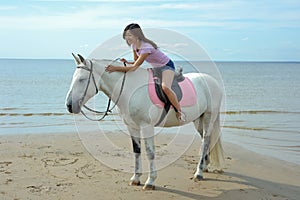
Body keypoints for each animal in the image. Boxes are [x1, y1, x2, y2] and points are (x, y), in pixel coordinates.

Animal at [66, 54, 225, 190]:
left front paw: (150, 181)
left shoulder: (147, 126)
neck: (131, 88)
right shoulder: (132, 126)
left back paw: (199, 173)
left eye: (82, 79)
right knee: (206, 140)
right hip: (198, 120)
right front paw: (136, 179)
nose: (69, 105)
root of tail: (212, 81)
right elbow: (137, 151)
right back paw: (204, 166)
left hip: (209, 117)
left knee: (206, 140)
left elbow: (150, 153)